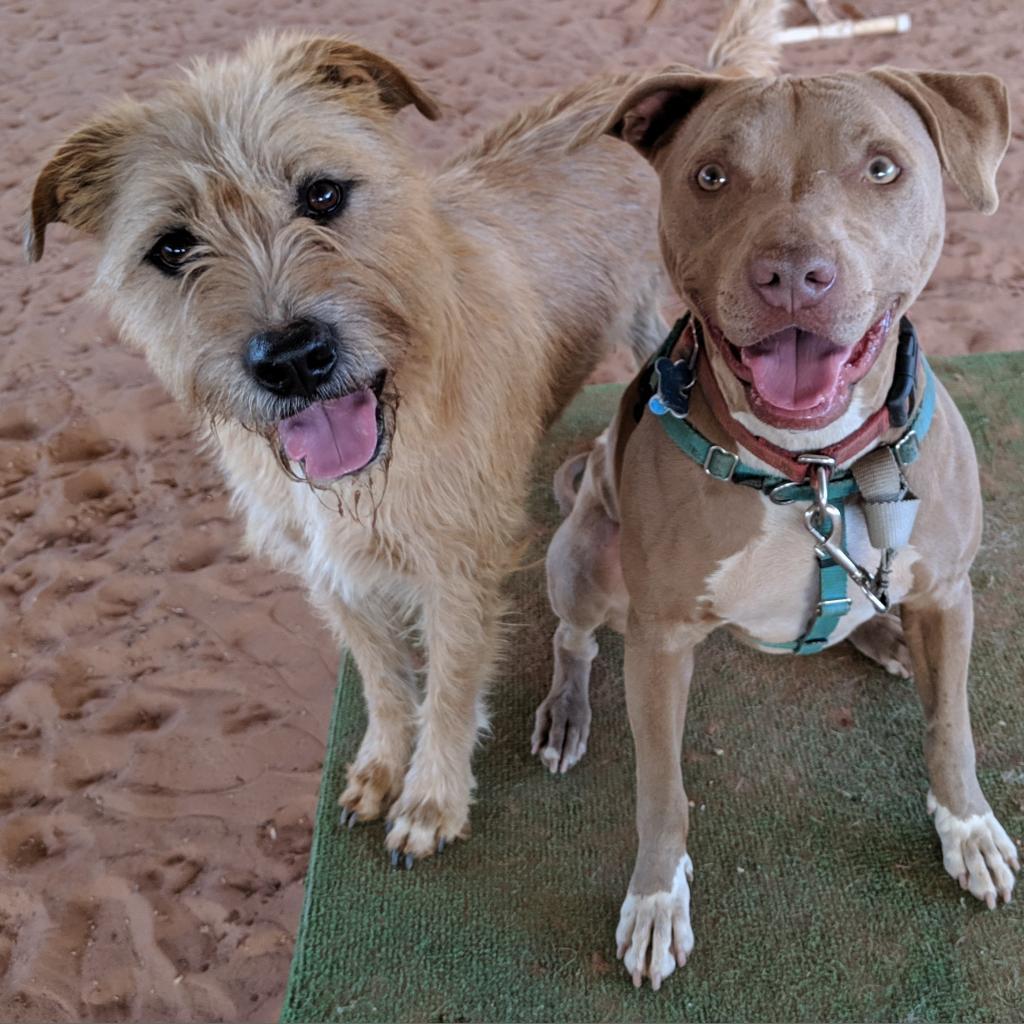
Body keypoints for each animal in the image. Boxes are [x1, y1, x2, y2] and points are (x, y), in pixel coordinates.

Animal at [540, 0, 1019, 991]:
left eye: (883, 168)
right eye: (711, 175)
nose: (793, 272)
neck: (814, 472)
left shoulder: (951, 593)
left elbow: (951, 729)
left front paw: (968, 828)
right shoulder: (661, 644)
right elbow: (662, 792)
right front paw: (655, 898)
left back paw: (878, 632)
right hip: (587, 557)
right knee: (575, 639)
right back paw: (566, 710)